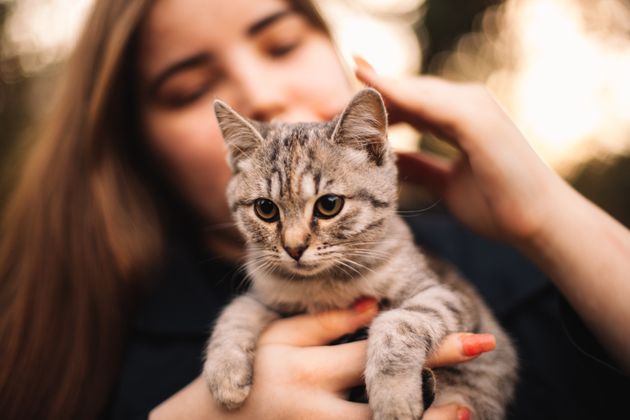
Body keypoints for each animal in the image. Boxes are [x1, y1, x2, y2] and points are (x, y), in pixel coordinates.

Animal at [205, 88, 520, 420]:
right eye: (265, 209)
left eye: (329, 204)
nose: (294, 248)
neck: (326, 284)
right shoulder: (269, 295)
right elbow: (238, 309)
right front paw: (224, 372)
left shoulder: (450, 296)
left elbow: (398, 323)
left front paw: (394, 397)